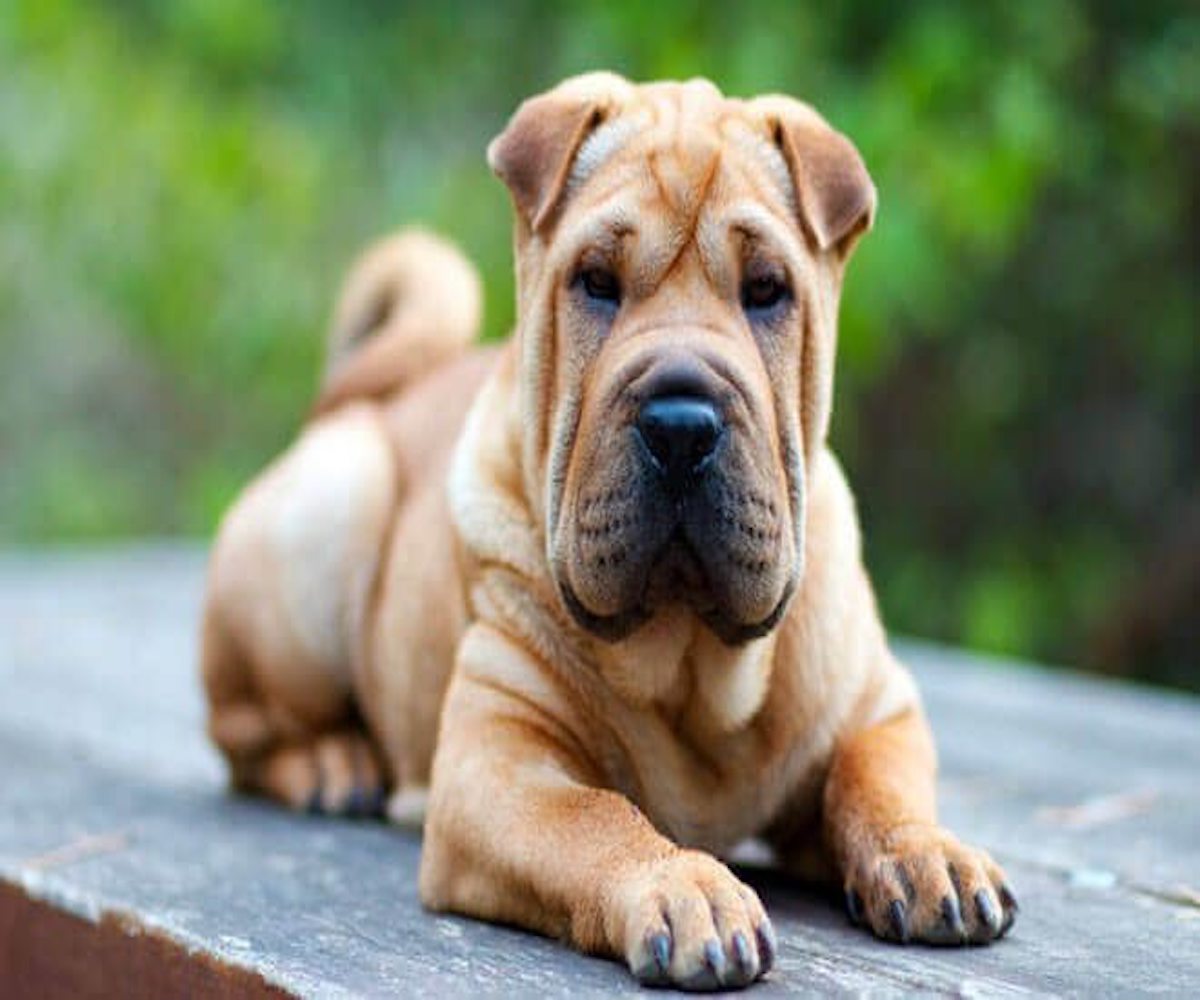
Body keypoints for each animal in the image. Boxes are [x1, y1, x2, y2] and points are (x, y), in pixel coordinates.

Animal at [201, 74, 1017, 989]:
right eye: (596, 281)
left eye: (767, 290)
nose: (681, 426)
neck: (695, 663)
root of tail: (364, 402)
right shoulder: (498, 764)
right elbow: (596, 816)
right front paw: (687, 889)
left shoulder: (875, 706)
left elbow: (878, 781)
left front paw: (929, 852)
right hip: (327, 519)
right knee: (241, 730)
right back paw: (331, 762)